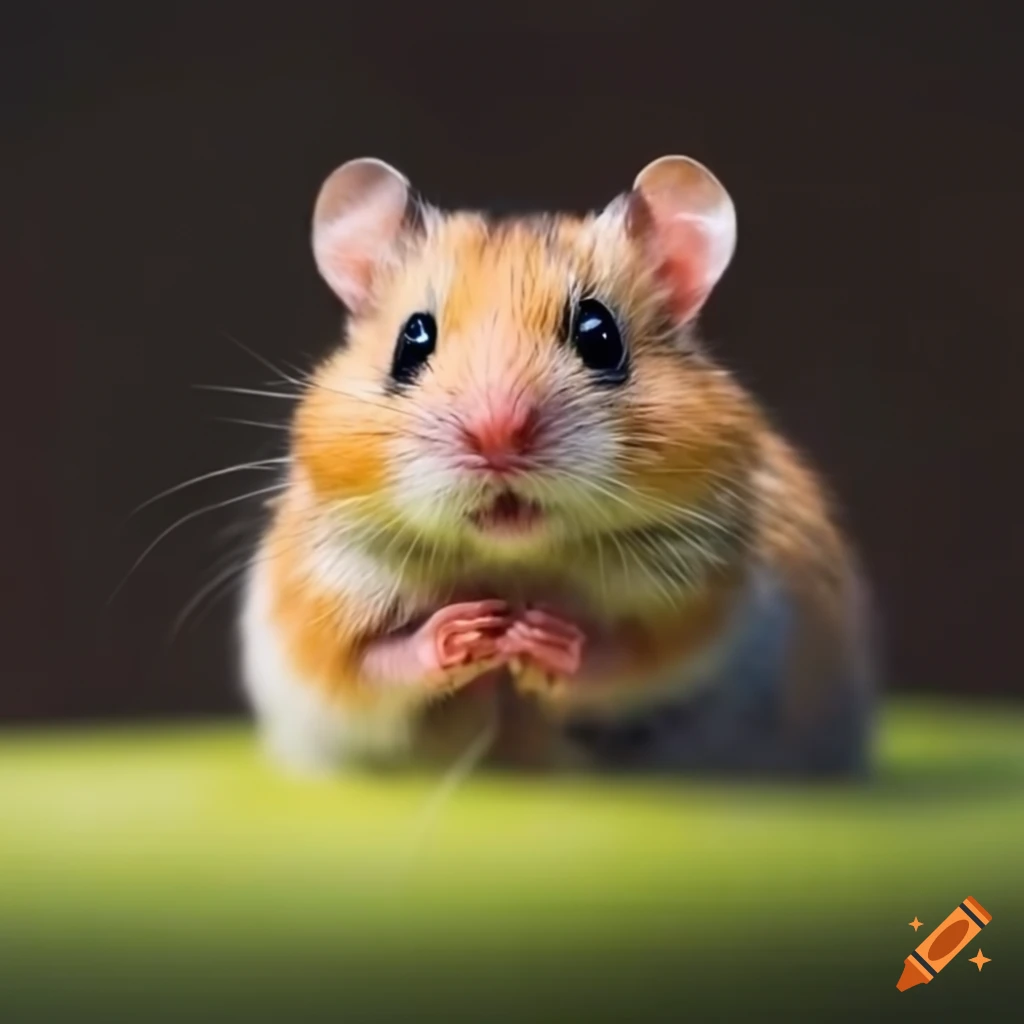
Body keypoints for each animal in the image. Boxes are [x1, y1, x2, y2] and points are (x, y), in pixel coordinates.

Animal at [238, 154, 877, 777]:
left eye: (600, 336)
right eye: (411, 342)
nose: (496, 436)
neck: (514, 561)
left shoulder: (699, 603)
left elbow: (626, 658)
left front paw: (533, 634)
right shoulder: (315, 607)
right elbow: (373, 665)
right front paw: (473, 630)